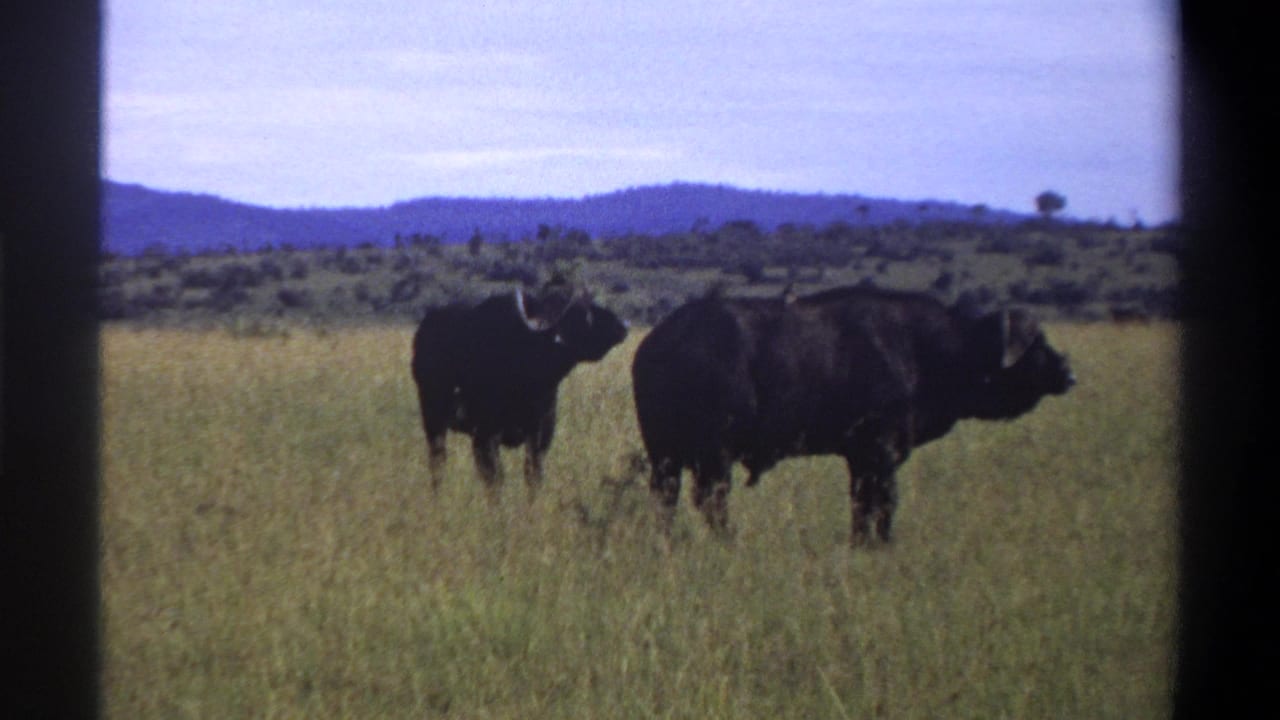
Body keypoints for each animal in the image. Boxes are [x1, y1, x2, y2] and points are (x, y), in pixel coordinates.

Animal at [412, 281, 628, 496]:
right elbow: (495, 480)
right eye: (584, 313)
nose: (623, 325)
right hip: (433, 422)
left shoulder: (540, 437)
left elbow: (533, 477)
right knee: (438, 463)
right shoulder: (485, 437)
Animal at [631, 285, 1075, 545]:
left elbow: (862, 504)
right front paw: (882, 544)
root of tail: (657, 344)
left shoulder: (860, 458)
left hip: (665, 456)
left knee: (666, 498)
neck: (925, 349)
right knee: (712, 500)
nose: (1068, 374)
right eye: (1036, 344)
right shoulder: (880, 452)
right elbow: (883, 502)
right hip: (714, 455)